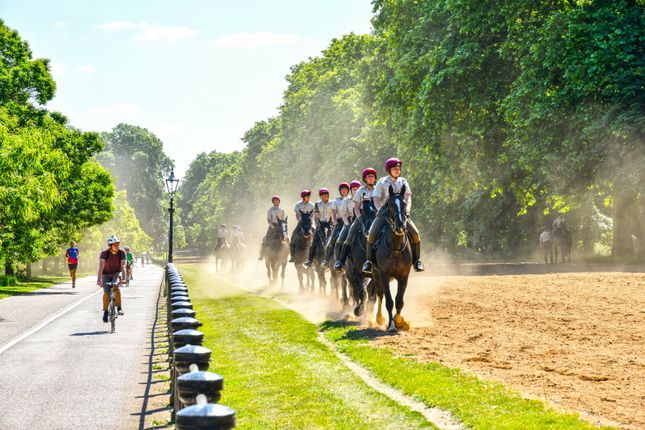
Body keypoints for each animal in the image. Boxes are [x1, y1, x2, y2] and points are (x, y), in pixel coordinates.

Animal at [372, 185, 412, 332]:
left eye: (404, 203)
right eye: (390, 205)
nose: (400, 226)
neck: (395, 247)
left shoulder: (404, 276)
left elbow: (399, 300)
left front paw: (400, 321)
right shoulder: (384, 274)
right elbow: (389, 301)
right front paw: (392, 325)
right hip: (376, 275)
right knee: (380, 294)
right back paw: (379, 318)